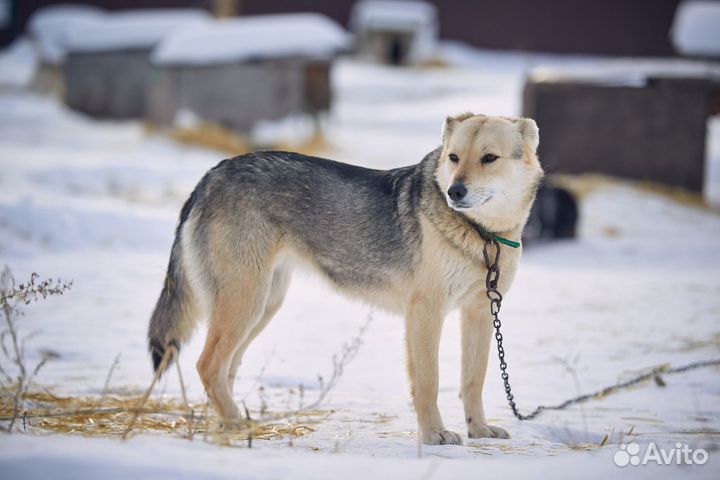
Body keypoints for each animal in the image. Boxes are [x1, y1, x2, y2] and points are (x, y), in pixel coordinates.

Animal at [149, 111, 544, 442]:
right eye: (454, 158)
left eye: (489, 158)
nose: (454, 191)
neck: (483, 234)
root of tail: (212, 174)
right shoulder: (426, 313)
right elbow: (428, 383)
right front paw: (434, 435)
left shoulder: (478, 312)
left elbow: (473, 380)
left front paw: (479, 431)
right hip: (245, 303)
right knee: (206, 365)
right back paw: (236, 425)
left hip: (261, 306)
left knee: (223, 370)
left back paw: (228, 425)